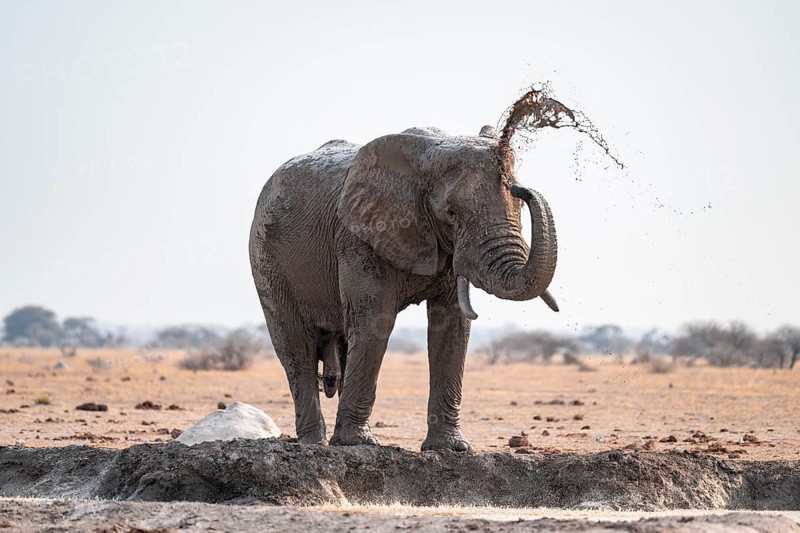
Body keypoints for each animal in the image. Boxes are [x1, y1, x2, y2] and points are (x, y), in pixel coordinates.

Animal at [249, 90, 561, 451]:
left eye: (517, 204)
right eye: (450, 213)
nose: (521, 188)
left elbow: (451, 325)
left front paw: (450, 448)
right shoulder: (358, 234)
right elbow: (376, 320)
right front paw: (357, 444)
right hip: (266, 258)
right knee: (297, 347)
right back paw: (314, 444)